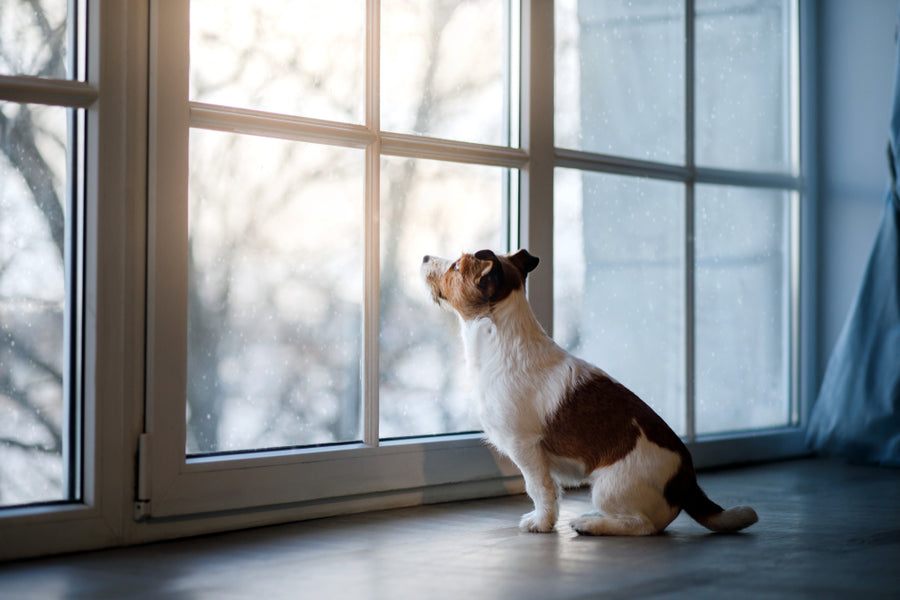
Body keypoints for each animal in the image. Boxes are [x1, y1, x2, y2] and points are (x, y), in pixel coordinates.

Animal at [422, 248, 760, 536]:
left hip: (608, 487)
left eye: (456, 266)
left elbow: (540, 489)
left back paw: (592, 524)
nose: (424, 256)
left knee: (643, 526)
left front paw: (542, 523)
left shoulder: (525, 447)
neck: (503, 341)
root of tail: (687, 479)